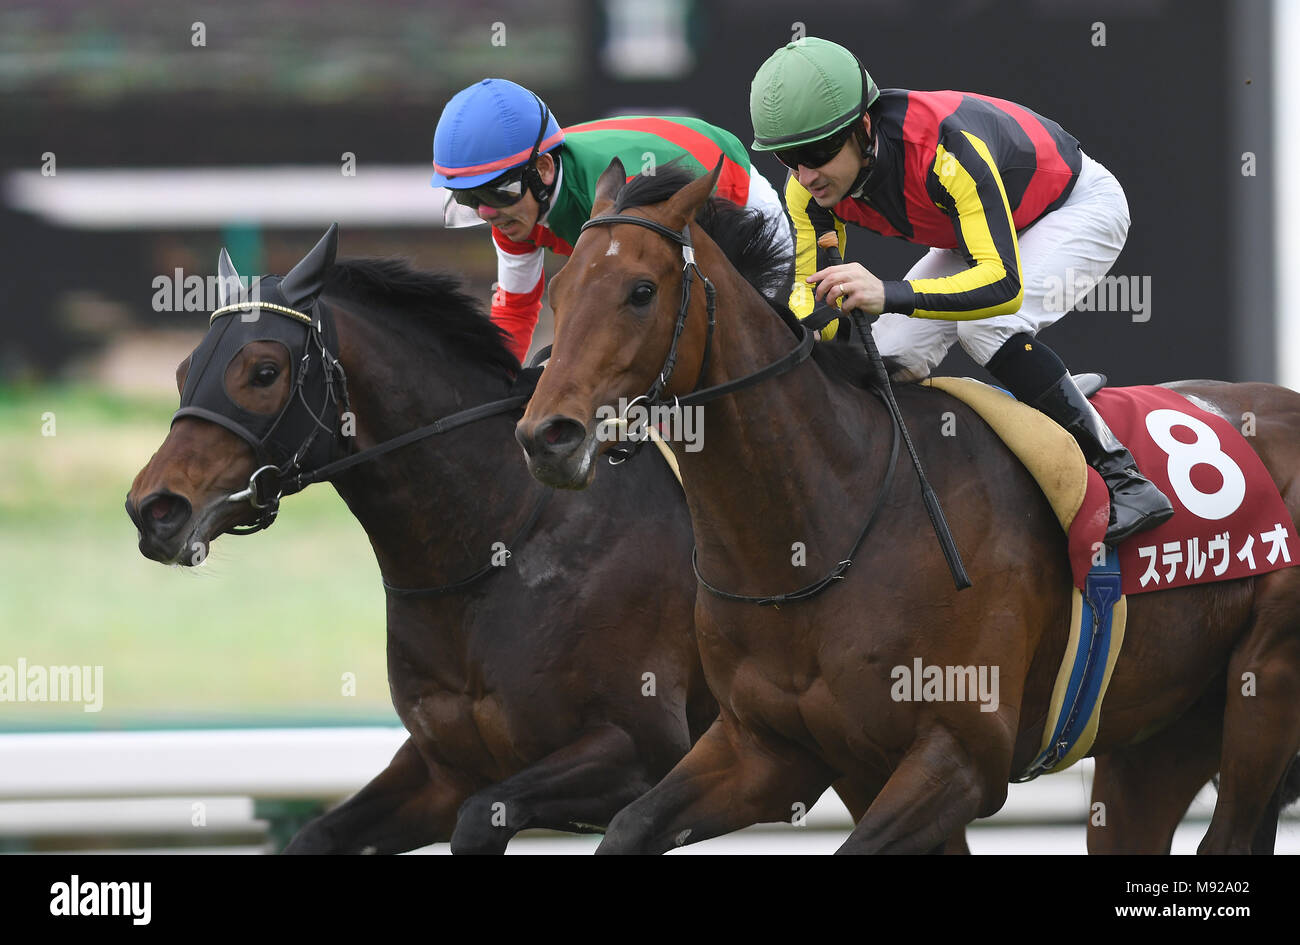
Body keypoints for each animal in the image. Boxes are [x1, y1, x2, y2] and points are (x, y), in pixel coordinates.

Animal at [128, 228, 728, 857]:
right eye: (184, 370)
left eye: (264, 372)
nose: (155, 509)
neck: (493, 547)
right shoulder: (442, 772)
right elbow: (320, 831)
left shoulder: (641, 750)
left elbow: (482, 817)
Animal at [517, 159, 1300, 852]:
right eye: (558, 291)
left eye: (641, 290)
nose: (547, 436)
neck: (824, 527)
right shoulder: (773, 751)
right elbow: (630, 825)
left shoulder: (961, 756)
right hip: (1160, 733)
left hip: (1263, 688)